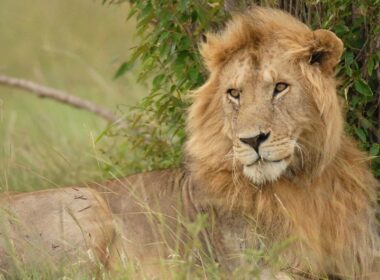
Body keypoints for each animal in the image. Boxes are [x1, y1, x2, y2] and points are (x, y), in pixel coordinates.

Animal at [0, 6, 380, 280]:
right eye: (235, 94)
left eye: (280, 87)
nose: (252, 140)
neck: (304, 183)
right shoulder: (259, 270)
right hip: (86, 202)